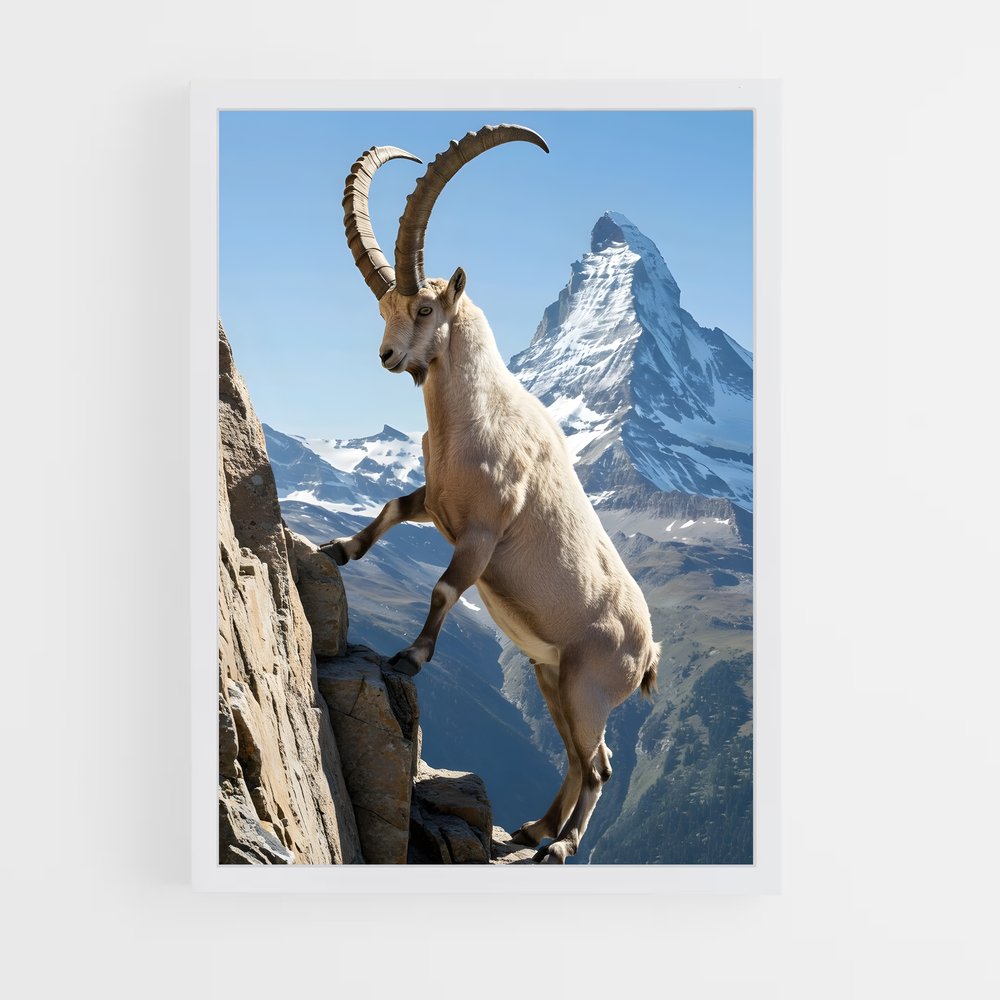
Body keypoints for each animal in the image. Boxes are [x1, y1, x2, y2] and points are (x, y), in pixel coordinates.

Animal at [324, 125, 661, 863]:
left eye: (424, 307)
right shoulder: (438, 502)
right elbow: (391, 508)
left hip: (589, 686)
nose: (389, 358)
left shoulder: (482, 533)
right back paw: (537, 827)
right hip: (550, 676)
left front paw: (410, 657)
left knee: (599, 766)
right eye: (386, 307)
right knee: (580, 758)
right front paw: (336, 550)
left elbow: (445, 588)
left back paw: (561, 845)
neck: (474, 418)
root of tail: (648, 650)